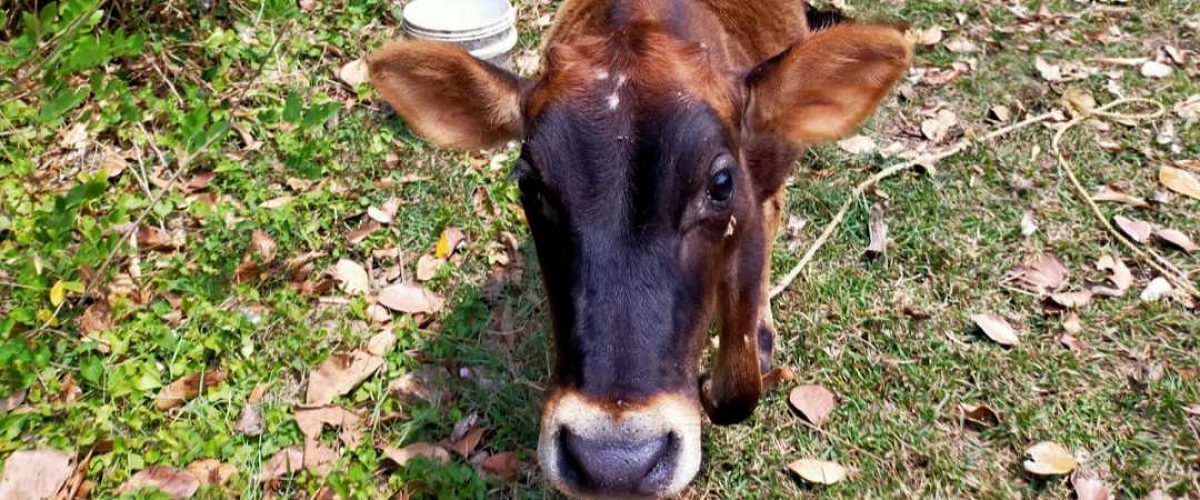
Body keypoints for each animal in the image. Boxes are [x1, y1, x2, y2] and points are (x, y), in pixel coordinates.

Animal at [368, 0, 910, 497]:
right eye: (528, 183)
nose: (615, 463)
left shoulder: (751, 209)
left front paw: (752, 347)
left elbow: (738, 386)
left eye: (720, 183)